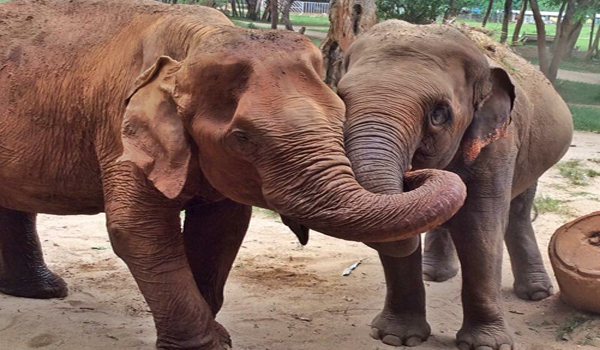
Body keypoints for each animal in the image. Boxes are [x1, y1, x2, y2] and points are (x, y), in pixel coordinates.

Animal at [0, 2, 468, 350]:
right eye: (243, 138)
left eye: (341, 115)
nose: (415, 171)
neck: (194, 44)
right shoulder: (117, 125)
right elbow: (138, 229)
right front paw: (206, 344)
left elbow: (222, 227)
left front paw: (217, 337)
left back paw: (44, 291)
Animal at [336, 21, 576, 350]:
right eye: (338, 100)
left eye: (438, 114)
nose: (411, 173)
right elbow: (399, 226)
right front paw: (396, 337)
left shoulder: (498, 144)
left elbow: (479, 227)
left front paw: (486, 345)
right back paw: (434, 273)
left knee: (517, 211)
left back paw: (536, 293)